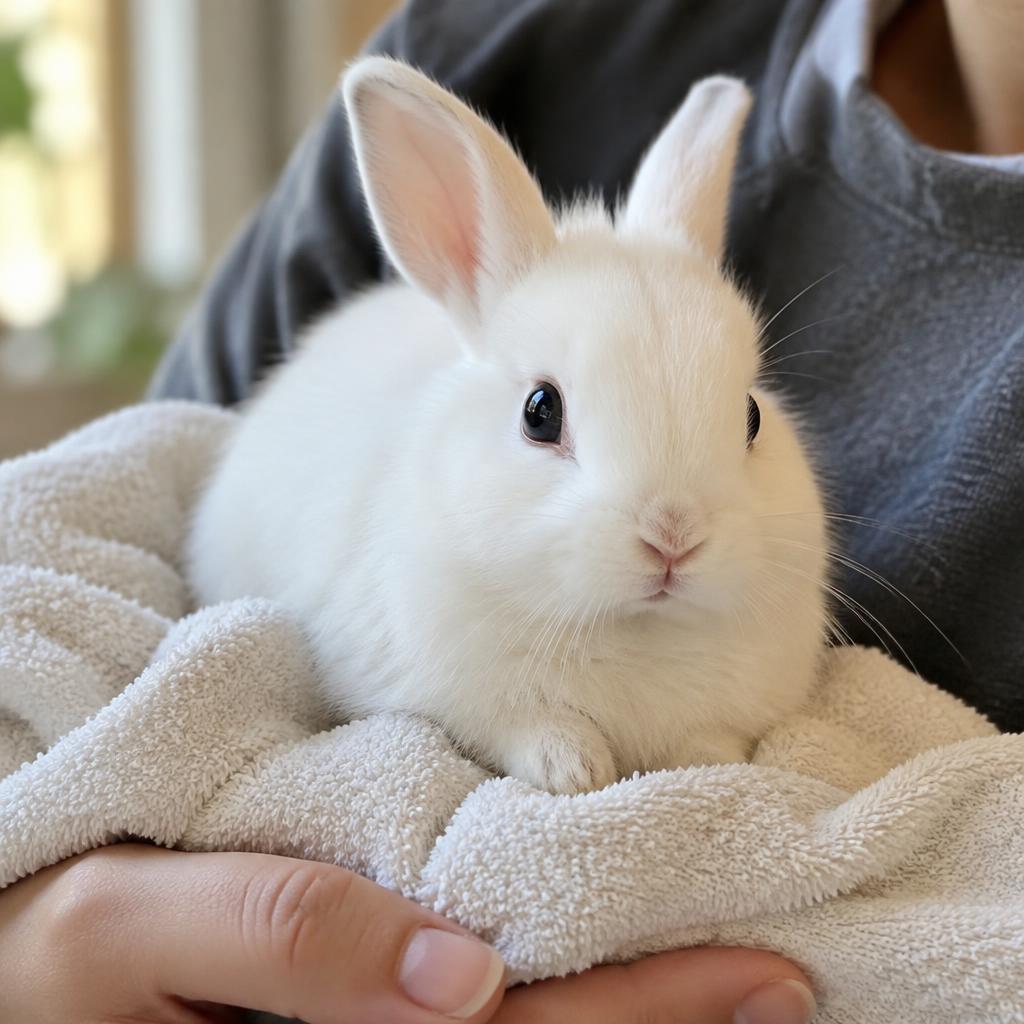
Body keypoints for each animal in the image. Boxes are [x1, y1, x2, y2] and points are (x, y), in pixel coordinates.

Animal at [187, 57, 829, 795]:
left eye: (751, 416)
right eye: (540, 412)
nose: (673, 536)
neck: (632, 626)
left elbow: (707, 742)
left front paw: (703, 763)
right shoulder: (458, 692)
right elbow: (529, 728)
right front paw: (573, 771)